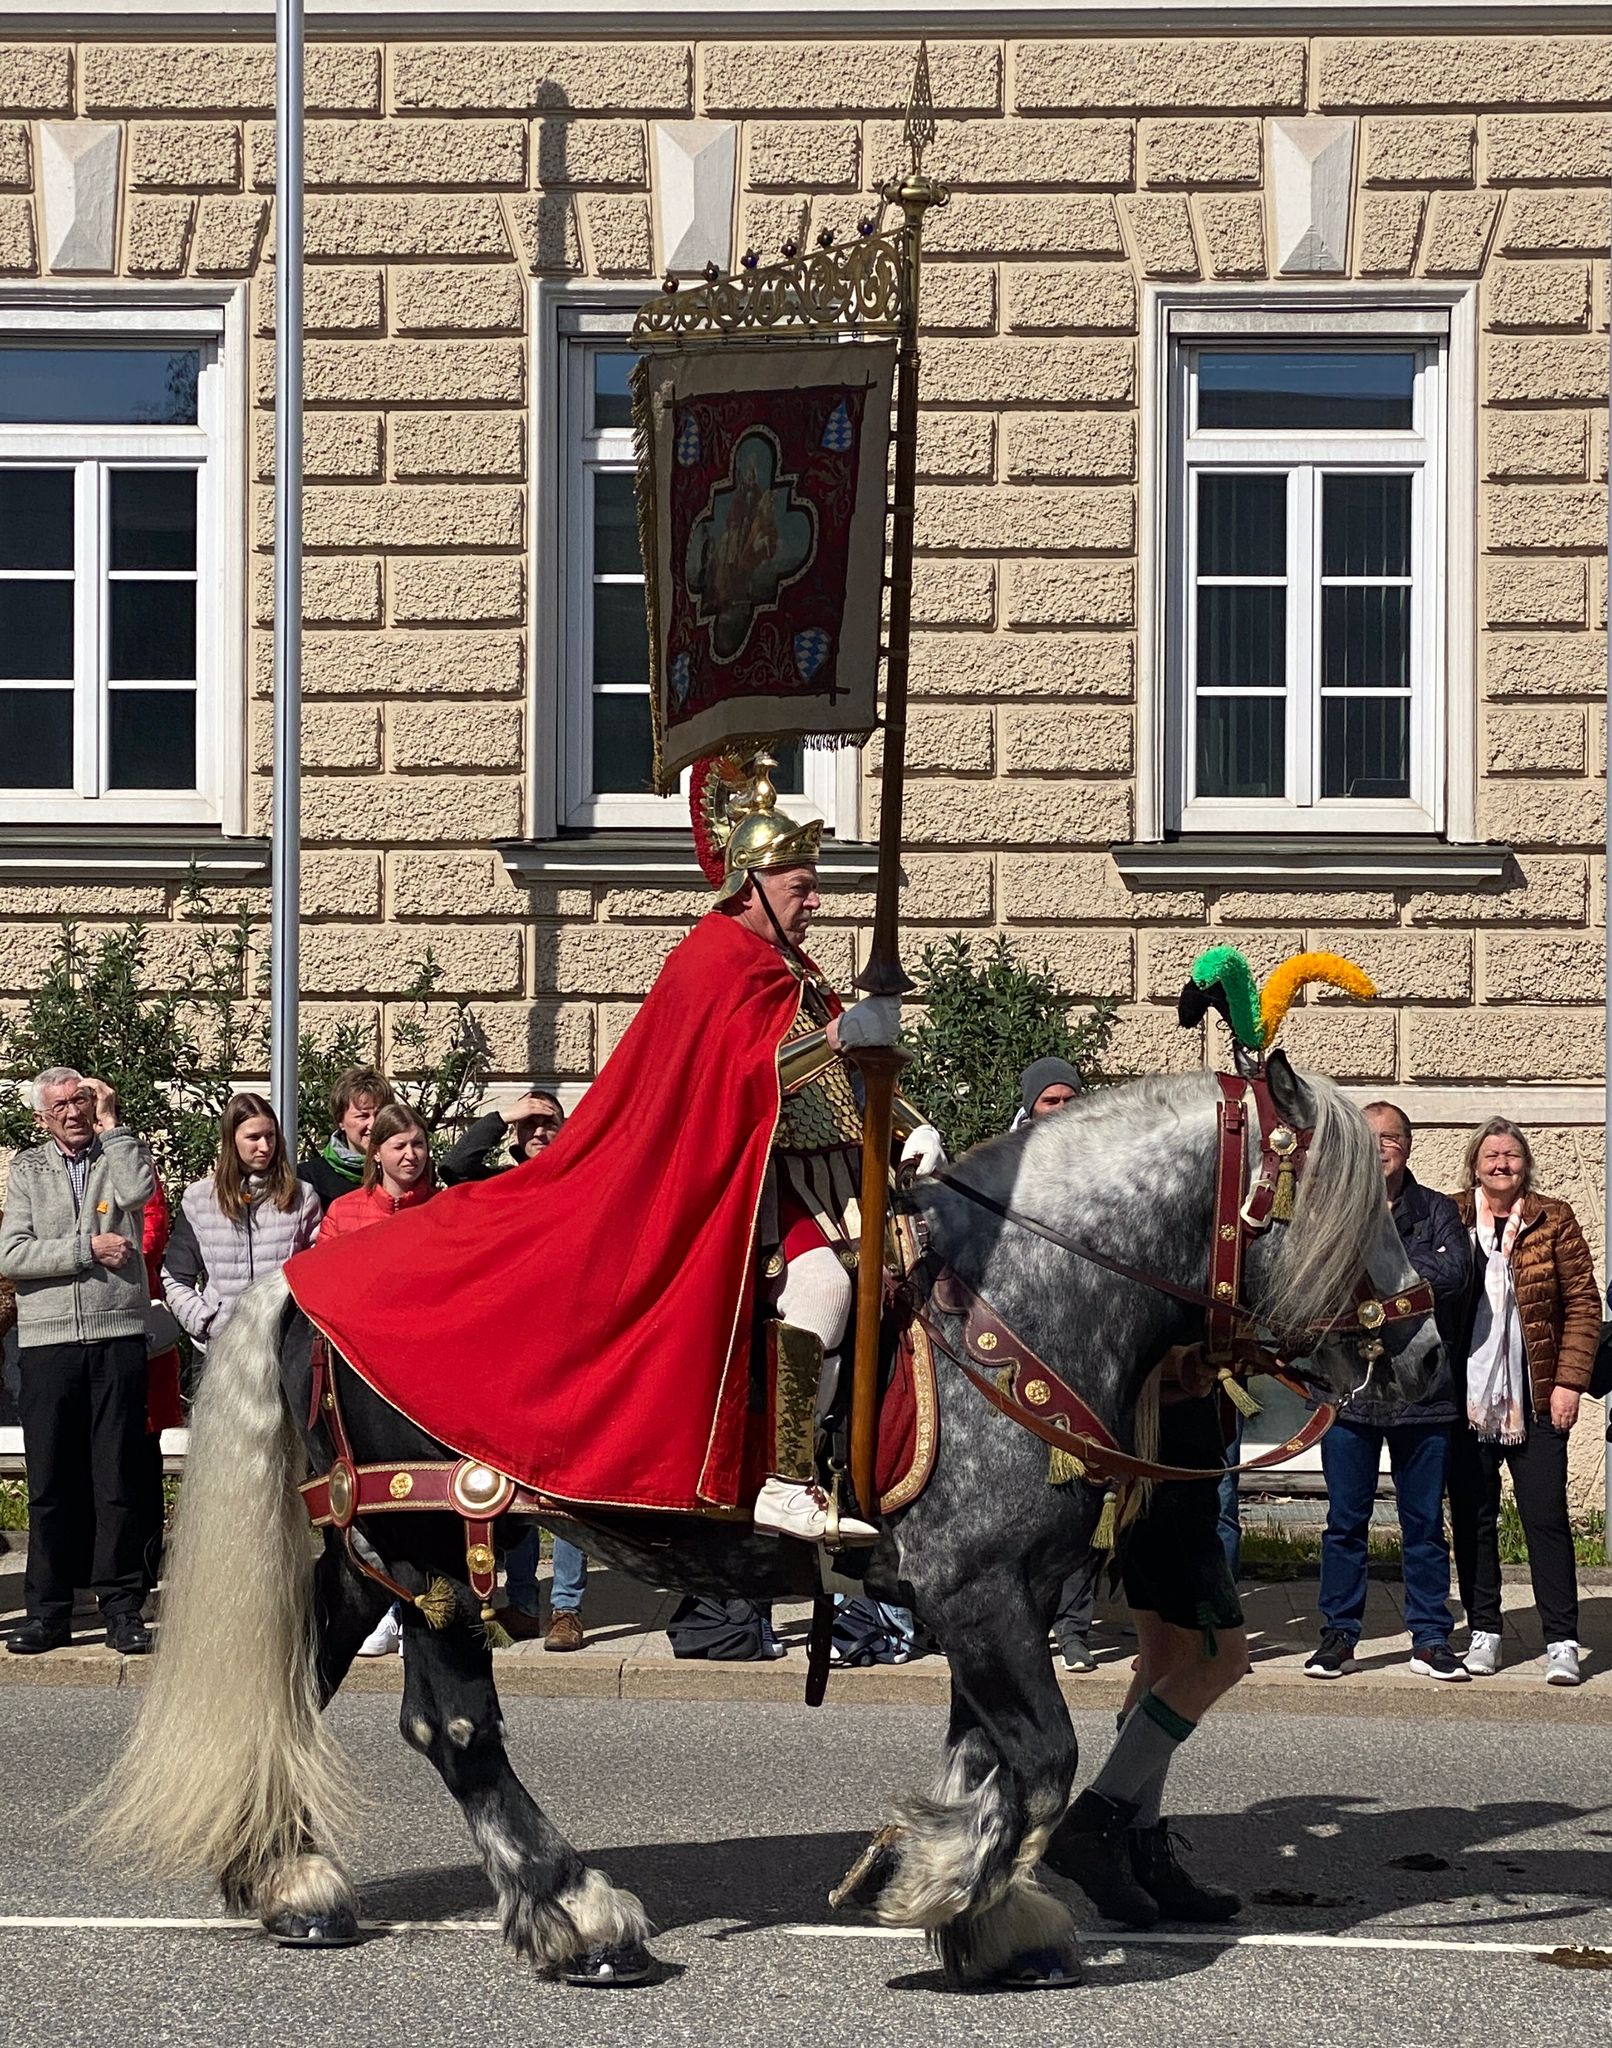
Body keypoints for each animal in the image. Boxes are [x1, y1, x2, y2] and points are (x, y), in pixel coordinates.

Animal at [88, 1054, 1440, 1993]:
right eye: (1333, 1193)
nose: (1424, 1346)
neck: (1030, 1288)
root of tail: (301, 1276)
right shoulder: (978, 1587)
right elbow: (1041, 1756)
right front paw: (931, 1885)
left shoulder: (985, 1594)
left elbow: (992, 1761)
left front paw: (975, 1908)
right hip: (433, 1534)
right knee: (456, 1726)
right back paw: (576, 1916)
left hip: (365, 1550)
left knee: (304, 1682)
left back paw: (290, 1879)